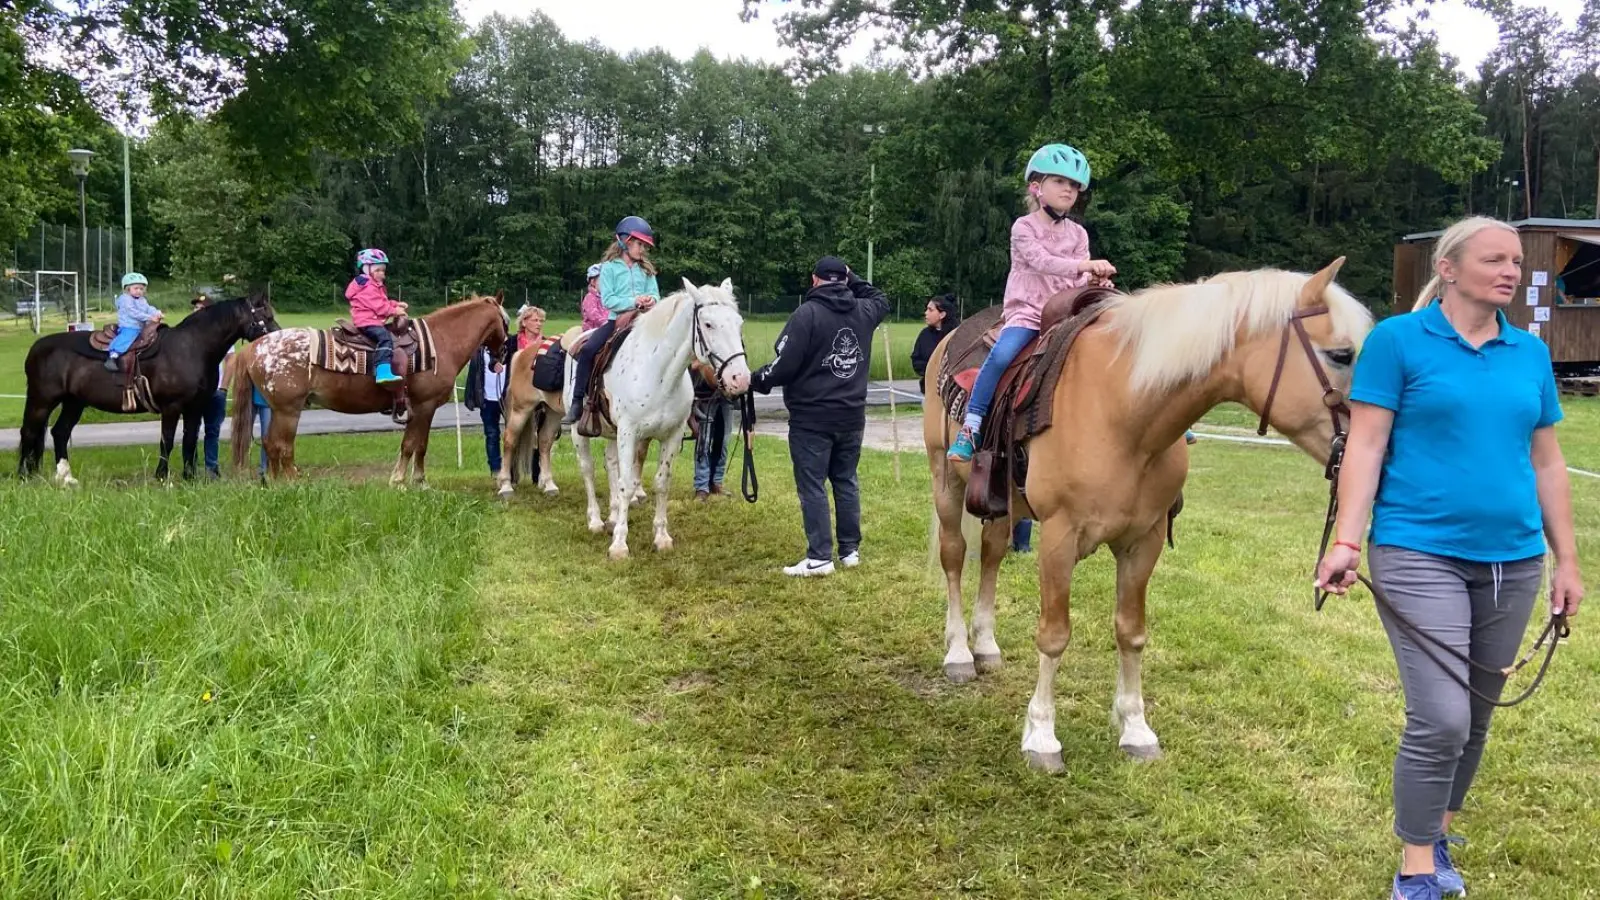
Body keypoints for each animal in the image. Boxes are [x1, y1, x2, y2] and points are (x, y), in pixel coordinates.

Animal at [20, 294, 276, 480]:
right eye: (265, 315)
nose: (277, 336)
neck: (192, 348)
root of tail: (35, 349)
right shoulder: (172, 407)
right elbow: (167, 440)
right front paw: (162, 475)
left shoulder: (194, 408)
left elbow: (191, 440)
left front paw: (189, 476)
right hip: (41, 400)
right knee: (29, 432)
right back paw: (24, 475)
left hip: (74, 403)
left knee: (59, 432)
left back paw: (65, 476)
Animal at [228, 293, 505, 483]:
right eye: (505, 321)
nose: (500, 355)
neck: (441, 341)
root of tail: (255, 347)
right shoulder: (424, 406)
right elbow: (413, 444)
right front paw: (405, 480)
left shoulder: (419, 409)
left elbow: (417, 444)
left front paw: (414, 479)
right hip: (288, 411)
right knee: (282, 446)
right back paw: (292, 483)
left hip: (279, 410)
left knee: (269, 443)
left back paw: (276, 483)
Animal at [572, 277, 752, 557]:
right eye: (708, 324)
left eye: (739, 323)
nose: (740, 379)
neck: (659, 374)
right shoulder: (629, 432)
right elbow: (627, 484)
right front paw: (619, 545)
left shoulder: (672, 435)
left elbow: (660, 482)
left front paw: (661, 537)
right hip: (577, 430)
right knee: (588, 469)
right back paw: (595, 521)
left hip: (612, 433)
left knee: (610, 464)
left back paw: (612, 517)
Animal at [928, 259, 1376, 771]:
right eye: (1342, 354)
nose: (1377, 446)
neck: (1124, 414)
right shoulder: (1058, 538)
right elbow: (1054, 635)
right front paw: (1041, 736)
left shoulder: (1145, 541)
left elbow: (1131, 632)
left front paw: (1135, 728)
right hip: (946, 482)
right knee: (954, 557)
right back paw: (959, 653)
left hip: (1003, 507)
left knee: (991, 555)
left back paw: (985, 645)